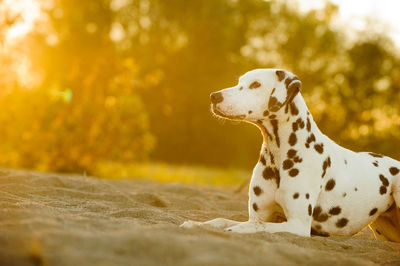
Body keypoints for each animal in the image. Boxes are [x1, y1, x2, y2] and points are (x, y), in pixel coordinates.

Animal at [181, 68, 400, 241]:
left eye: (255, 84)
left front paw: (233, 229)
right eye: (239, 82)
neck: (279, 155)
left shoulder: (297, 225)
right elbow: (221, 220)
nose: (214, 96)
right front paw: (195, 224)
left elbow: (252, 226)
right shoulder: (260, 215)